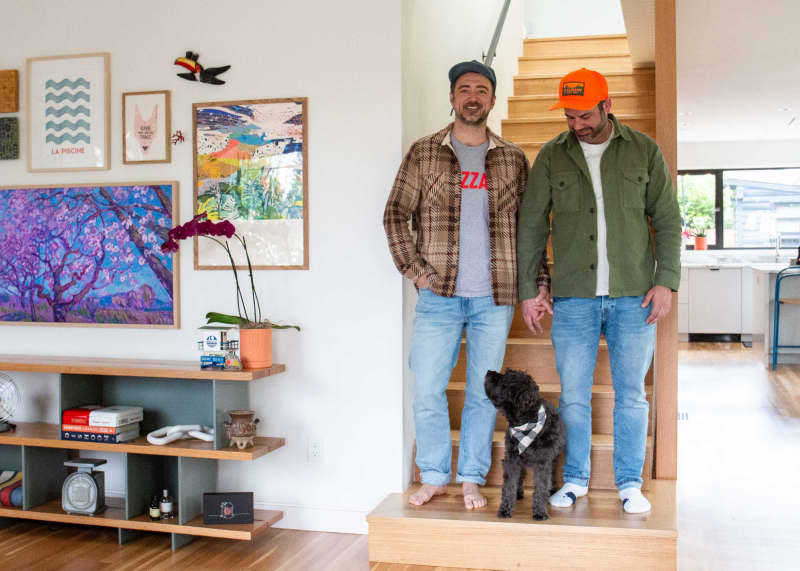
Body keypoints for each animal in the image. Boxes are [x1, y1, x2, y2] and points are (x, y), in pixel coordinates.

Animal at [484, 368, 564, 520]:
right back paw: (518, 493)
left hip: (553, 458)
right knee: (521, 476)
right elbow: (509, 485)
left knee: (552, 474)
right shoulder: (511, 459)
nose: (489, 371)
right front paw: (505, 509)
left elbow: (541, 487)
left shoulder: (543, 462)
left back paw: (552, 490)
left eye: (504, 381)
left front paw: (540, 511)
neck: (526, 423)